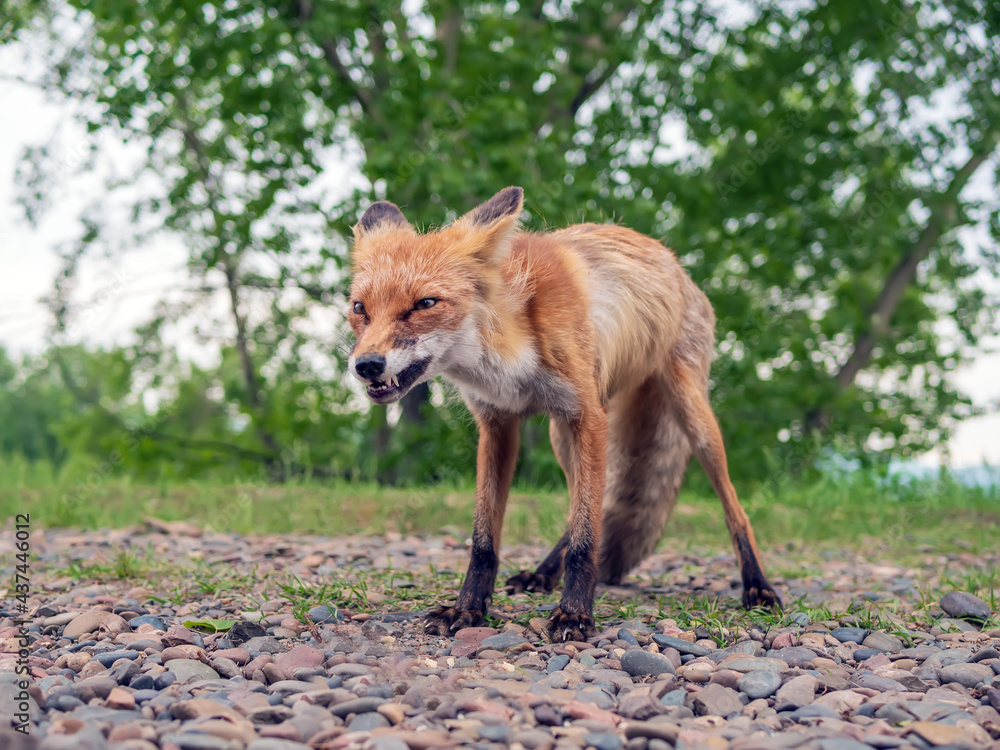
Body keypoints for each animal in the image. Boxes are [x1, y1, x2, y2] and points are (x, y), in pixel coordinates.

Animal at [350, 187, 780, 640]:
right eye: (359, 308)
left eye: (425, 303)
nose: (366, 365)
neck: (508, 349)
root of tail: (673, 259)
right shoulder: (498, 424)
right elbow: (485, 540)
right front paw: (467, 609)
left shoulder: (589, 417)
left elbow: (585, 538)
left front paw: (575, 614)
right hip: (561, 436)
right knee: (591, 506)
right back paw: (541, 573)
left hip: (691, 419)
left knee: (734, 509)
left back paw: (758, 587)